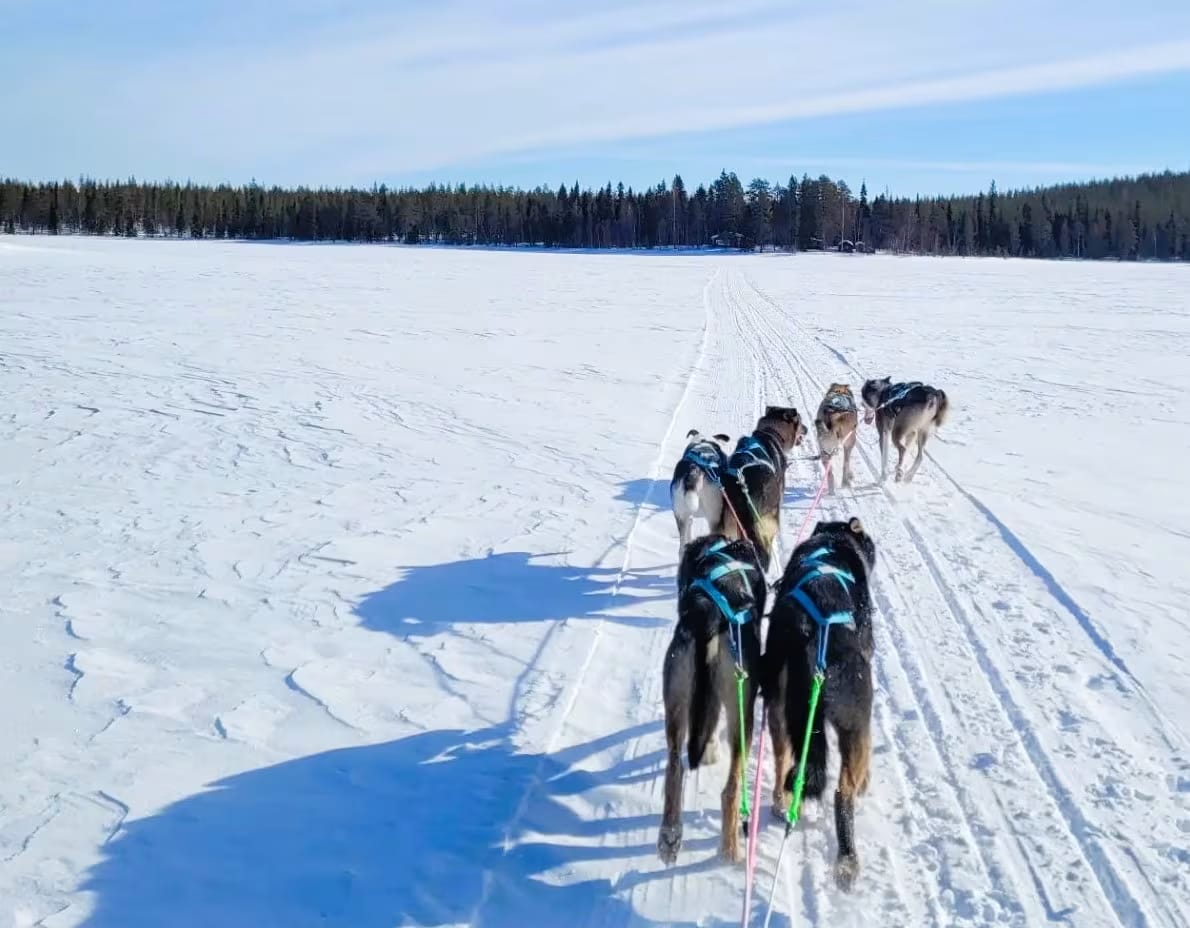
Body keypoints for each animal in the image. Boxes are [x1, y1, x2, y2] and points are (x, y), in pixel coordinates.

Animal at [656, 533, 766, 866]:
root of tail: (709, 612)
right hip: (742, 713)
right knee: (730, 790)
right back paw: (730, 850)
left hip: (676, 702)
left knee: (674, 769)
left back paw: (669, 837)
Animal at [714, 406, 809, 573]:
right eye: (800, 421)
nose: (807, 429)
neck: (770, 432)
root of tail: (744, 489)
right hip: (767, 524)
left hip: (728, 524)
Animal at [761, 518, 875, 889]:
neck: (832, 540)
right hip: (856, 722)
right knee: (843, 792)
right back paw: (848, 859)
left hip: (782, 713)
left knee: (785, 764)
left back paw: (781, 804)